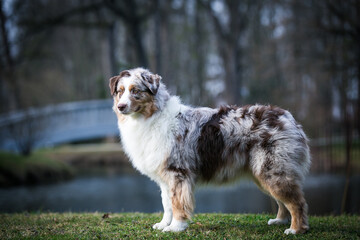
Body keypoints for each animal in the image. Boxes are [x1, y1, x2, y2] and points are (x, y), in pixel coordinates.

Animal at [108, 67, 310, 234]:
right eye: (120, 91)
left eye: (135, 91)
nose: (121, 107)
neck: (151, 117)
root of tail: (288, 117)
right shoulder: (165, 177)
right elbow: (167, 203)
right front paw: (164, 224)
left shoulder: (177, 173)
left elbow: (177, 203)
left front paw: (175, 227)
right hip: (264, 173)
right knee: (283, 201)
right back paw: (280, 221)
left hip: (272, 170)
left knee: (297, 202)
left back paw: (296, 229)